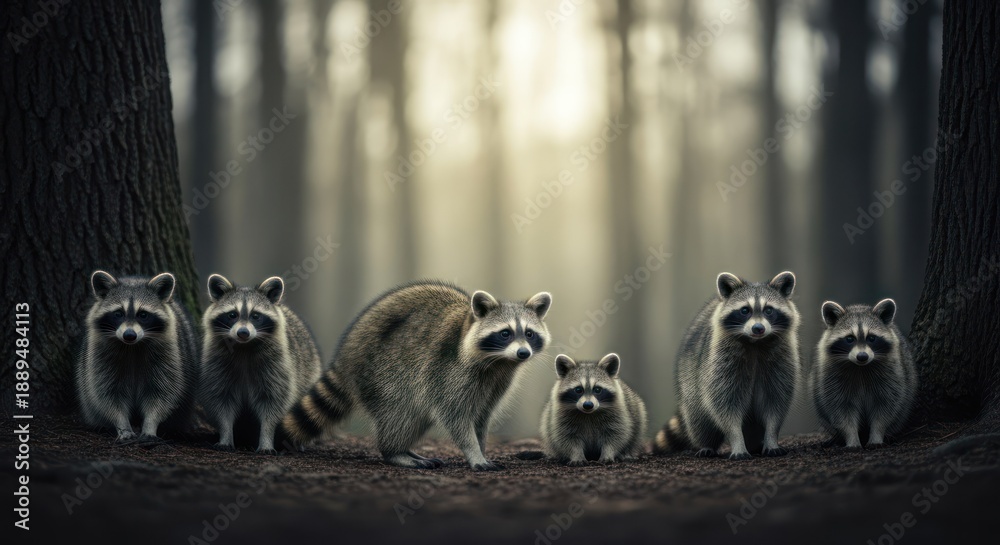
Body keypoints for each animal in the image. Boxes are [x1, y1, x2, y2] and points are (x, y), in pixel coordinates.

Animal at [76, 271, 199, 440]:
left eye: (143, 314)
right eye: (118, 313)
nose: (129, 335)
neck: (132, 347)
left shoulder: (168, 355)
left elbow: (163, 393)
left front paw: (150, 424)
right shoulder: (100, 355)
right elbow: (107, 394)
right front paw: (122, 426)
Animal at [199, 274, 322, 453]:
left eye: (255, 316)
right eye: (232, 315)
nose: (243, 333)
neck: (244, 347)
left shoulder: (278, 367)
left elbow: (273, 403)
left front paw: (266, 438)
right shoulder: (216, 364)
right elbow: (221, 399)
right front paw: (226, 434)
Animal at [280, 281, 552, 470]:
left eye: (529, 333)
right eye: (505, 333)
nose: (523, 353)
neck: (499, 362)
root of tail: (346, 355)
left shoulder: (496, 383)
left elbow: (481, 418)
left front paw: (481, 448)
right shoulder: (451, 372)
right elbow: (456, 416)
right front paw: (473, 452)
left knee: (416, 418)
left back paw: (405, 450)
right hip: (386, 374)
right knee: (400, 414)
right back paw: (394, 452)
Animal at [653, 272, 801, 460]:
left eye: (769, 310)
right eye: (745, 310)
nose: (758, 328)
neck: (755, 343)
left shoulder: (782, 360)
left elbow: (775, 402)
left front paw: (771, 439)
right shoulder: (720, 362)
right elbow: (725, 405)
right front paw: (737, 440)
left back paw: (755, 444)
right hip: (690, 380)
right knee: (699, 418)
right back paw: (706, 444)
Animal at [812, 299, 916, 448]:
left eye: (871, 338)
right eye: (850, 339)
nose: (862, 356)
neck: (860, 367)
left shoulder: (892, 374)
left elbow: (886, 407)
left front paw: (877, 435)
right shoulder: (831, 377)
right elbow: (840, 409)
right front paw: (852, 438)